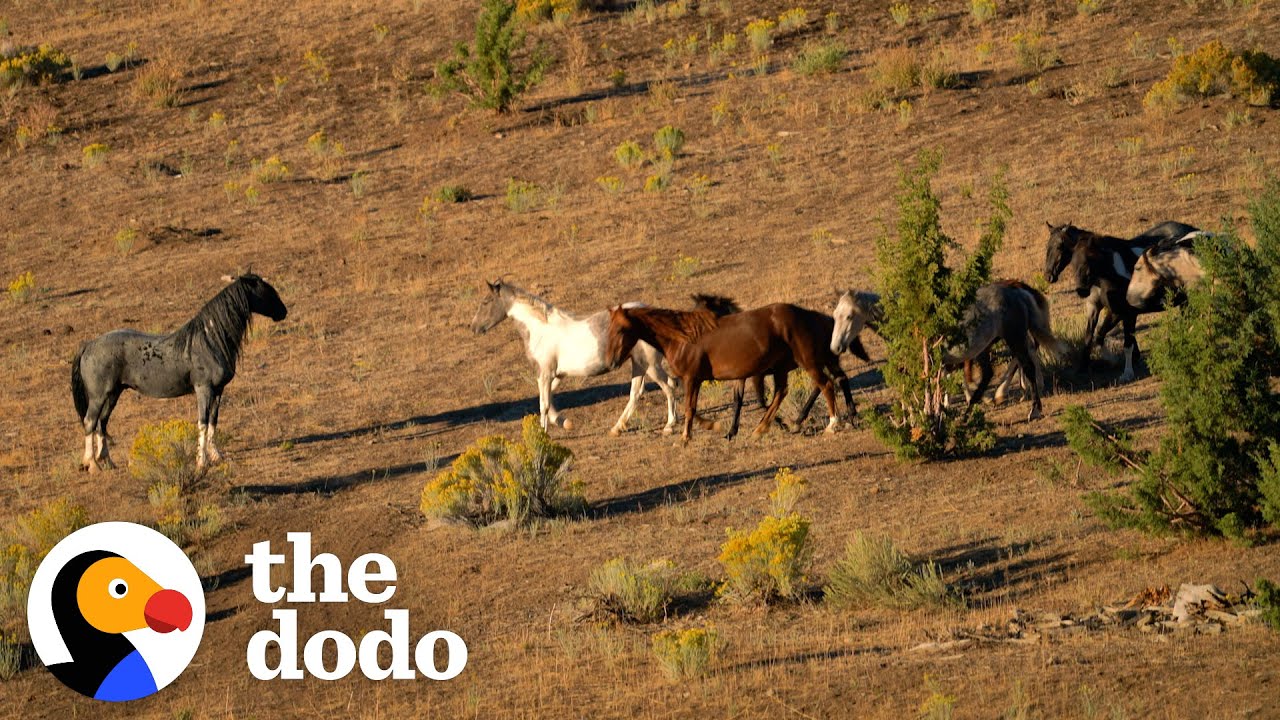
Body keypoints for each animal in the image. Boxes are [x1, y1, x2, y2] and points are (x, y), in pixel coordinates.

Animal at [71, 273, 287, 473]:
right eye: (266, 291)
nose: (283, 312)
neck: (209, 340)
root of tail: (88, 345)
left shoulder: (218, 390)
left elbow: (213, 421)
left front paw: (216, 456)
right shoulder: (203, 389)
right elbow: (202, 422)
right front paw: (202, 462)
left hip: (113, 394)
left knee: (102, 422)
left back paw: (108, 462)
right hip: (99, 396)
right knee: (90, 422)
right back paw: (92, 464)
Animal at [606, 303, 842, 441]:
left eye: (621, 329)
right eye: (609, 329)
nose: (611, 362)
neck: (682, 338)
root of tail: (810, 315)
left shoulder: (692, 378)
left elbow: (689, 409)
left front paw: (686, 437)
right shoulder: (695, 379)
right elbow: (694, 408)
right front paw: (716, 427)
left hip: (807, 362)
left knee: (826, 385)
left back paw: (832, 425)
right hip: (782, 368)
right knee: (781, 393)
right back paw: (762, 428)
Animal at [831, 282, 1063, 419]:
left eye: (849, 316)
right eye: (834, 315)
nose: (835, 347)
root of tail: (1017, 291)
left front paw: (926, 413)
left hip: (1014, 339)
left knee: (1027, 366)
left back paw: (1034, 409)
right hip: (987, 346)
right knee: (989, 374)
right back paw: (970, 411)